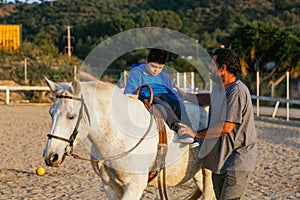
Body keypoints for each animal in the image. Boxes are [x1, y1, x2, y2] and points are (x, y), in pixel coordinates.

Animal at [42, 78, 216, 200]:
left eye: (71, 116)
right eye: (50, 113)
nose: (50, 156)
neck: (119, 136)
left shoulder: (134, 186)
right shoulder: (110, 187)